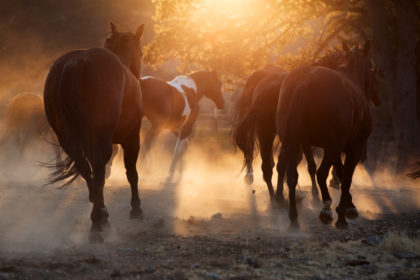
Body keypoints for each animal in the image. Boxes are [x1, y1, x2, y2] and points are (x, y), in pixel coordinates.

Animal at [42, 21, 144, 242]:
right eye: (141, 51)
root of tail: (75, 63)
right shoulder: (132, 139)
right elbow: (131, 173)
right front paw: (136, 209)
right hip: (101, 139)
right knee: (97, 170)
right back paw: (97, 221)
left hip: (67, 138)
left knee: (86, 170)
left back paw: (100, 213)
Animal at [276, 42, 380, 230]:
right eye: (372, 69)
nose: (377, 97)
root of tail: (305, 81)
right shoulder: (353, 147)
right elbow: (346, 177)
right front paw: (342, 214)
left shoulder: (334, 149)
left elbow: (340, 172)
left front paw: (349, 206)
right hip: (327, 146)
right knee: (320, 173)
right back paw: (326, 211)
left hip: (293, 143)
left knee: (292, 176)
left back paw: (293, 216)